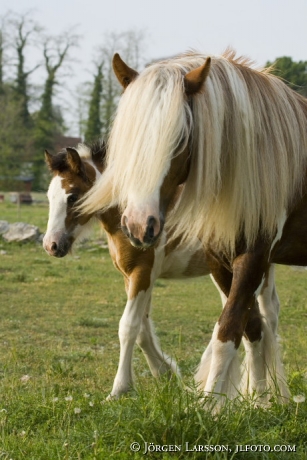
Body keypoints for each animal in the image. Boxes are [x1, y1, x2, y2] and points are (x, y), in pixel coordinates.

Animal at [44, 142, 290, 400]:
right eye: (49, 196)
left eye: (72, 196)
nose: (51, 245)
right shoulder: (134, 277)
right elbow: (142, 329)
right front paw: (165, 374)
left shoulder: (142, 272)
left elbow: (128, 327)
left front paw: (120, 388)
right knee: (263, 314)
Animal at [79, 49, 307, 402]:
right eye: (127, 139)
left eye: (180, 137)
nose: (139, 225)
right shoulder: (220, 260)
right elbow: (250, 328)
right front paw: (260, 401)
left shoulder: (254, 258)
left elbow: (228, 329)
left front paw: (209, 404)